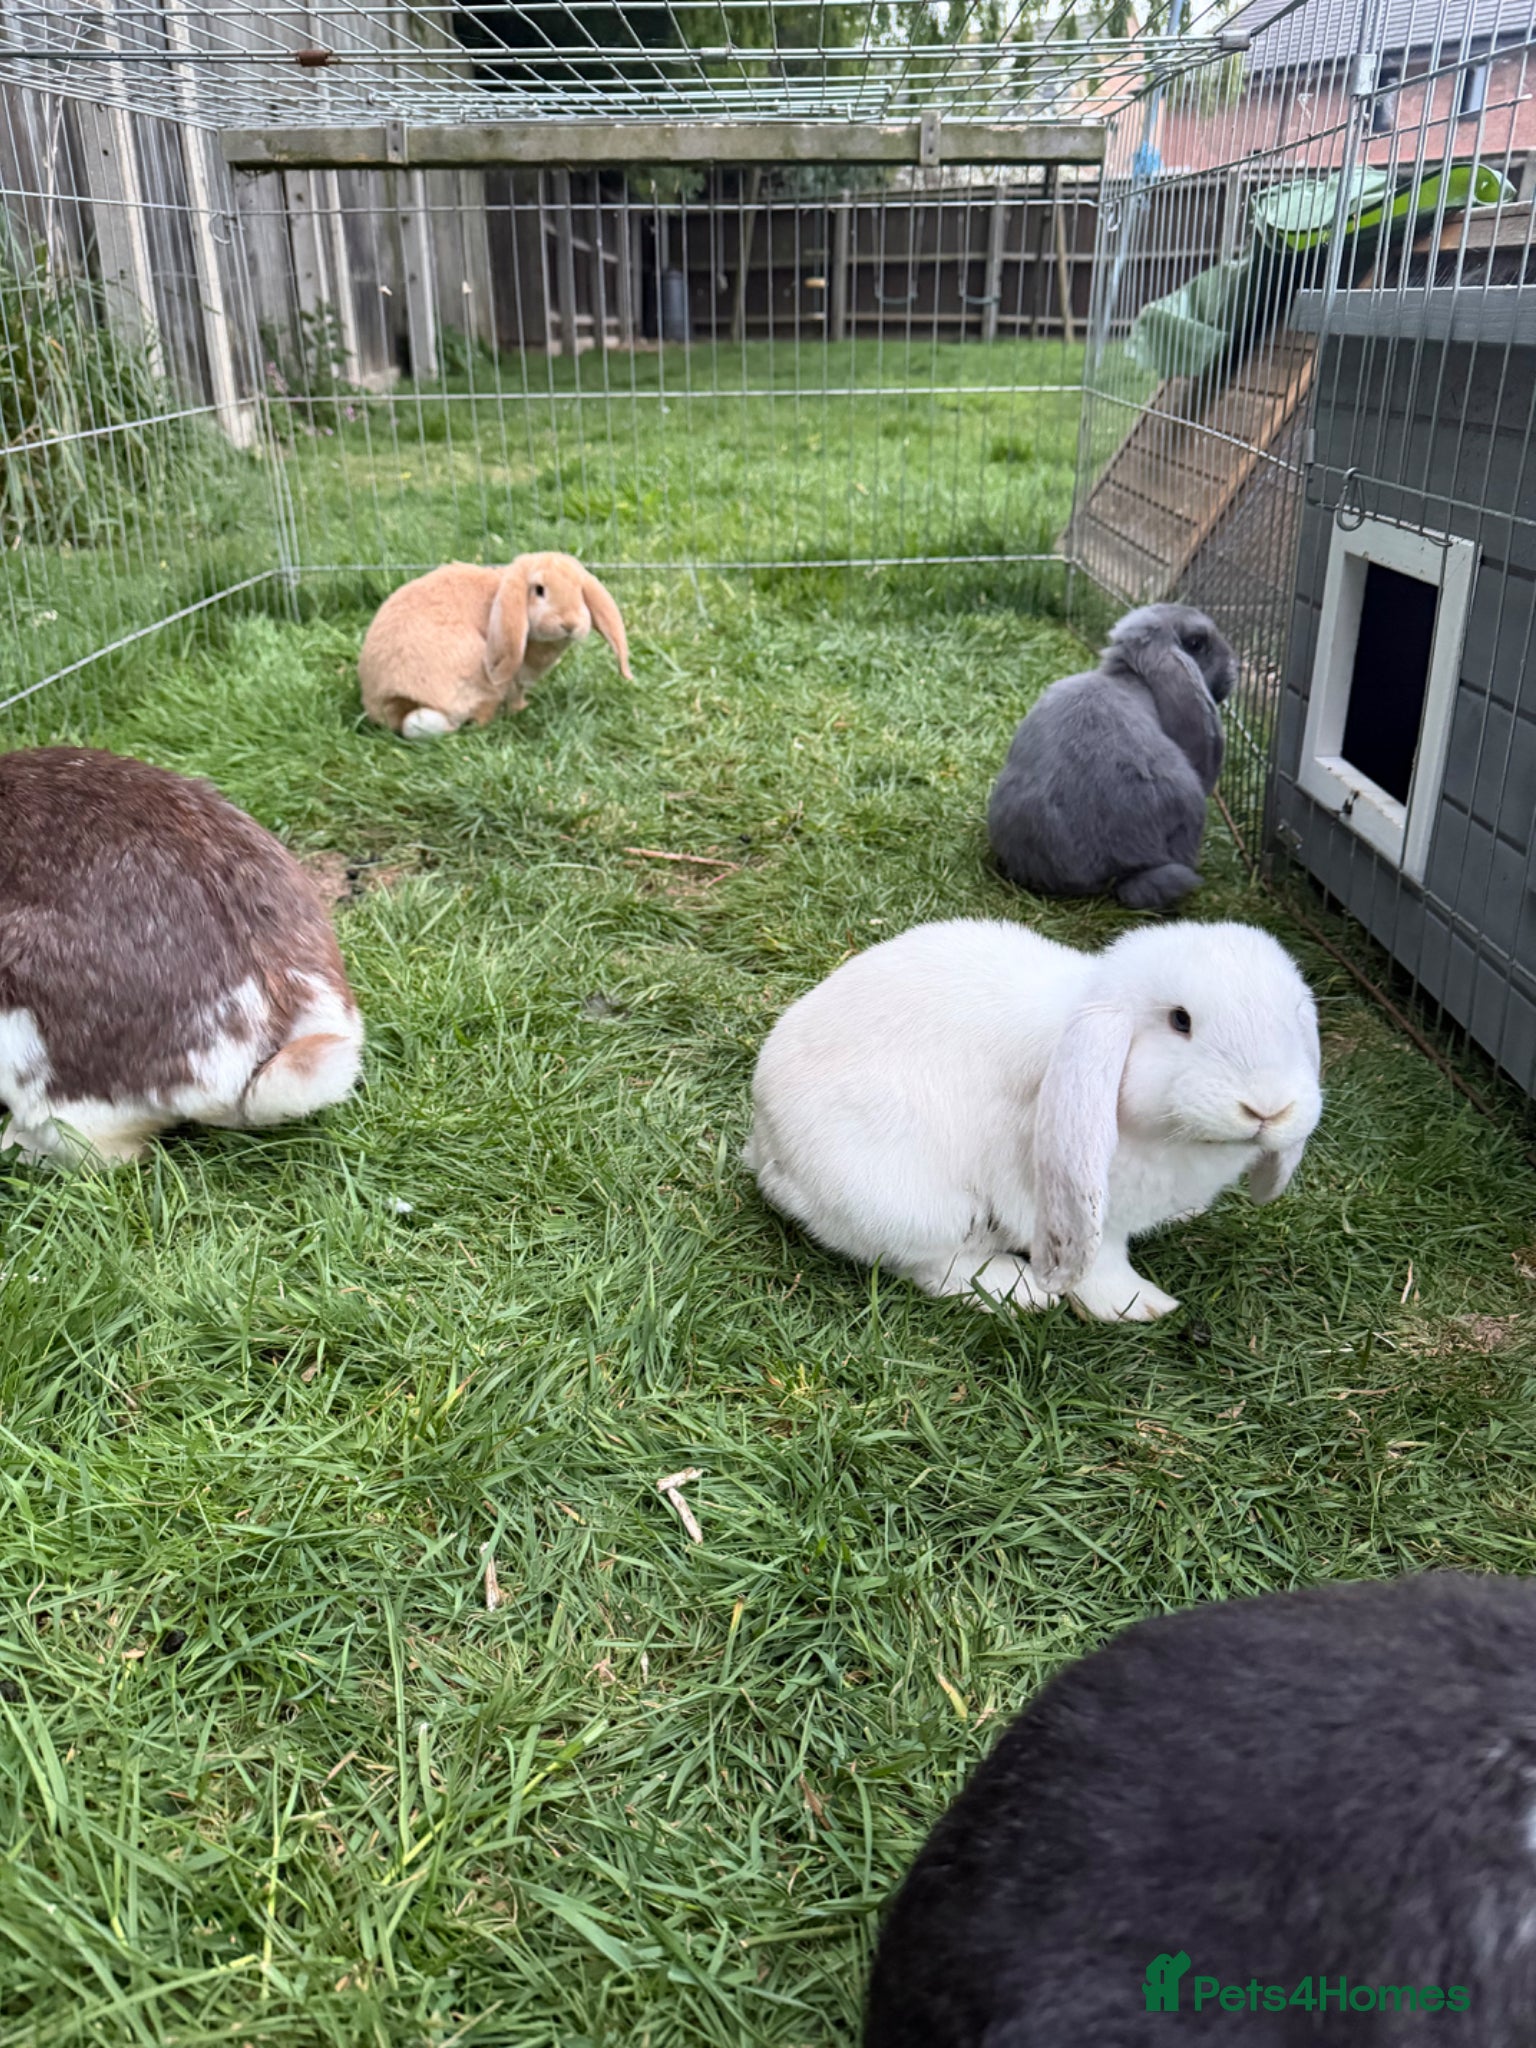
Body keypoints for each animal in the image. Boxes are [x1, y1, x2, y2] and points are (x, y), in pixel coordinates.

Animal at [358, 551, 632, 738]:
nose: (570, 623)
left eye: (580, 591)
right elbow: (515, 693)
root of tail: (398, 695)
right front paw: (521, 708)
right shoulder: (514, 678)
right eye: (539, 589)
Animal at [743, 917, 1320, 1322]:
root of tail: (766, 1148)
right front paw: (1138, 1305)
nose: (1268, 1108)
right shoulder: (1081, 1213)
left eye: (1294, 1019)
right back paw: (1016, 1291)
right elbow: (1101, 1264)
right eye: (1181, 1020)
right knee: (929, 1264)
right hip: (911, 1206)